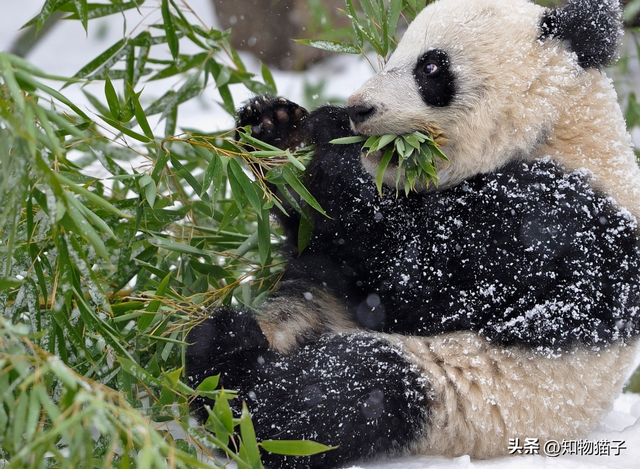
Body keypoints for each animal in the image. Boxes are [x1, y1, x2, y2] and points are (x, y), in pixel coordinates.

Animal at [186, 0, 640, 466]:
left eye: (431, 67)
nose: (358, 109)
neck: (557, 127)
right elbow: (321, 240)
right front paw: (275, 129)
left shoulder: (557, 219)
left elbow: (420, 274)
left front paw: (328, 138)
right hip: (316, 306)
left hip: (465, 392)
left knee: (345, 391)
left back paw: (231, 360)